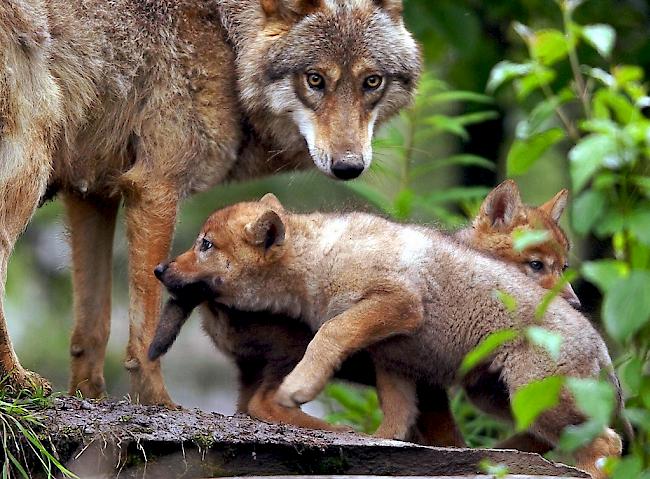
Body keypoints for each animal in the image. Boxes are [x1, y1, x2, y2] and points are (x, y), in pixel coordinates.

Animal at [0, 0, 420, 403]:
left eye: (371, 82)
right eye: (314, 79)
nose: (349, 166)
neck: (227, 40)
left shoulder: (92, 193)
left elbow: (93, 326)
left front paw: (88, 397)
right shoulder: (155, 187)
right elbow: (146, 328)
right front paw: (157, 403)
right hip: (32, 164)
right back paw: (17, 381)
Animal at [151, 194, 623, 477]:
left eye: (205, 245)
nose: (160, 270)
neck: (320, 255)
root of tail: (599, 343)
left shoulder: (396, 305)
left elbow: (329, 334)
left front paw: (302, 387)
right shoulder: (395, 363)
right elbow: (395, 426)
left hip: (532, 398)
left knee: (607, 441)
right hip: (496, 396)